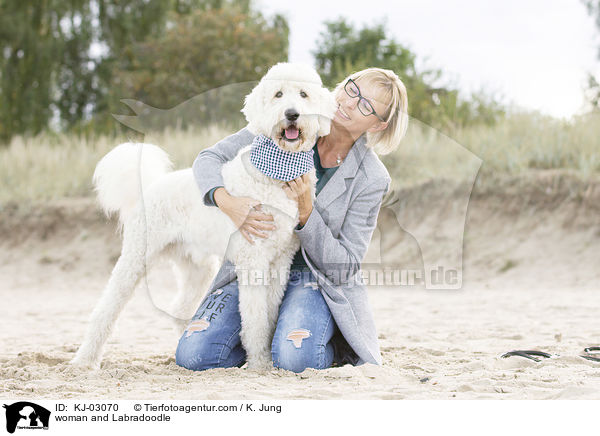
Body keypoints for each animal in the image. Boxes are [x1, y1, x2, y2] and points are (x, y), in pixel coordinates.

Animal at [70, 63, 338, 370]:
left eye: (304, 94)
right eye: (278, 94)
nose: (292, 114)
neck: (277, 170)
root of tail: (149, 186)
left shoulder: (279, 261)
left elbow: (269, 314)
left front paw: (265, 358)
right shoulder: (254, 260)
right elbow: (255, 319)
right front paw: (259, 362)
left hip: (195, 266)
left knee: (180, 307)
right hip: (137, 257)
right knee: (105, 309)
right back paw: (84, 360)